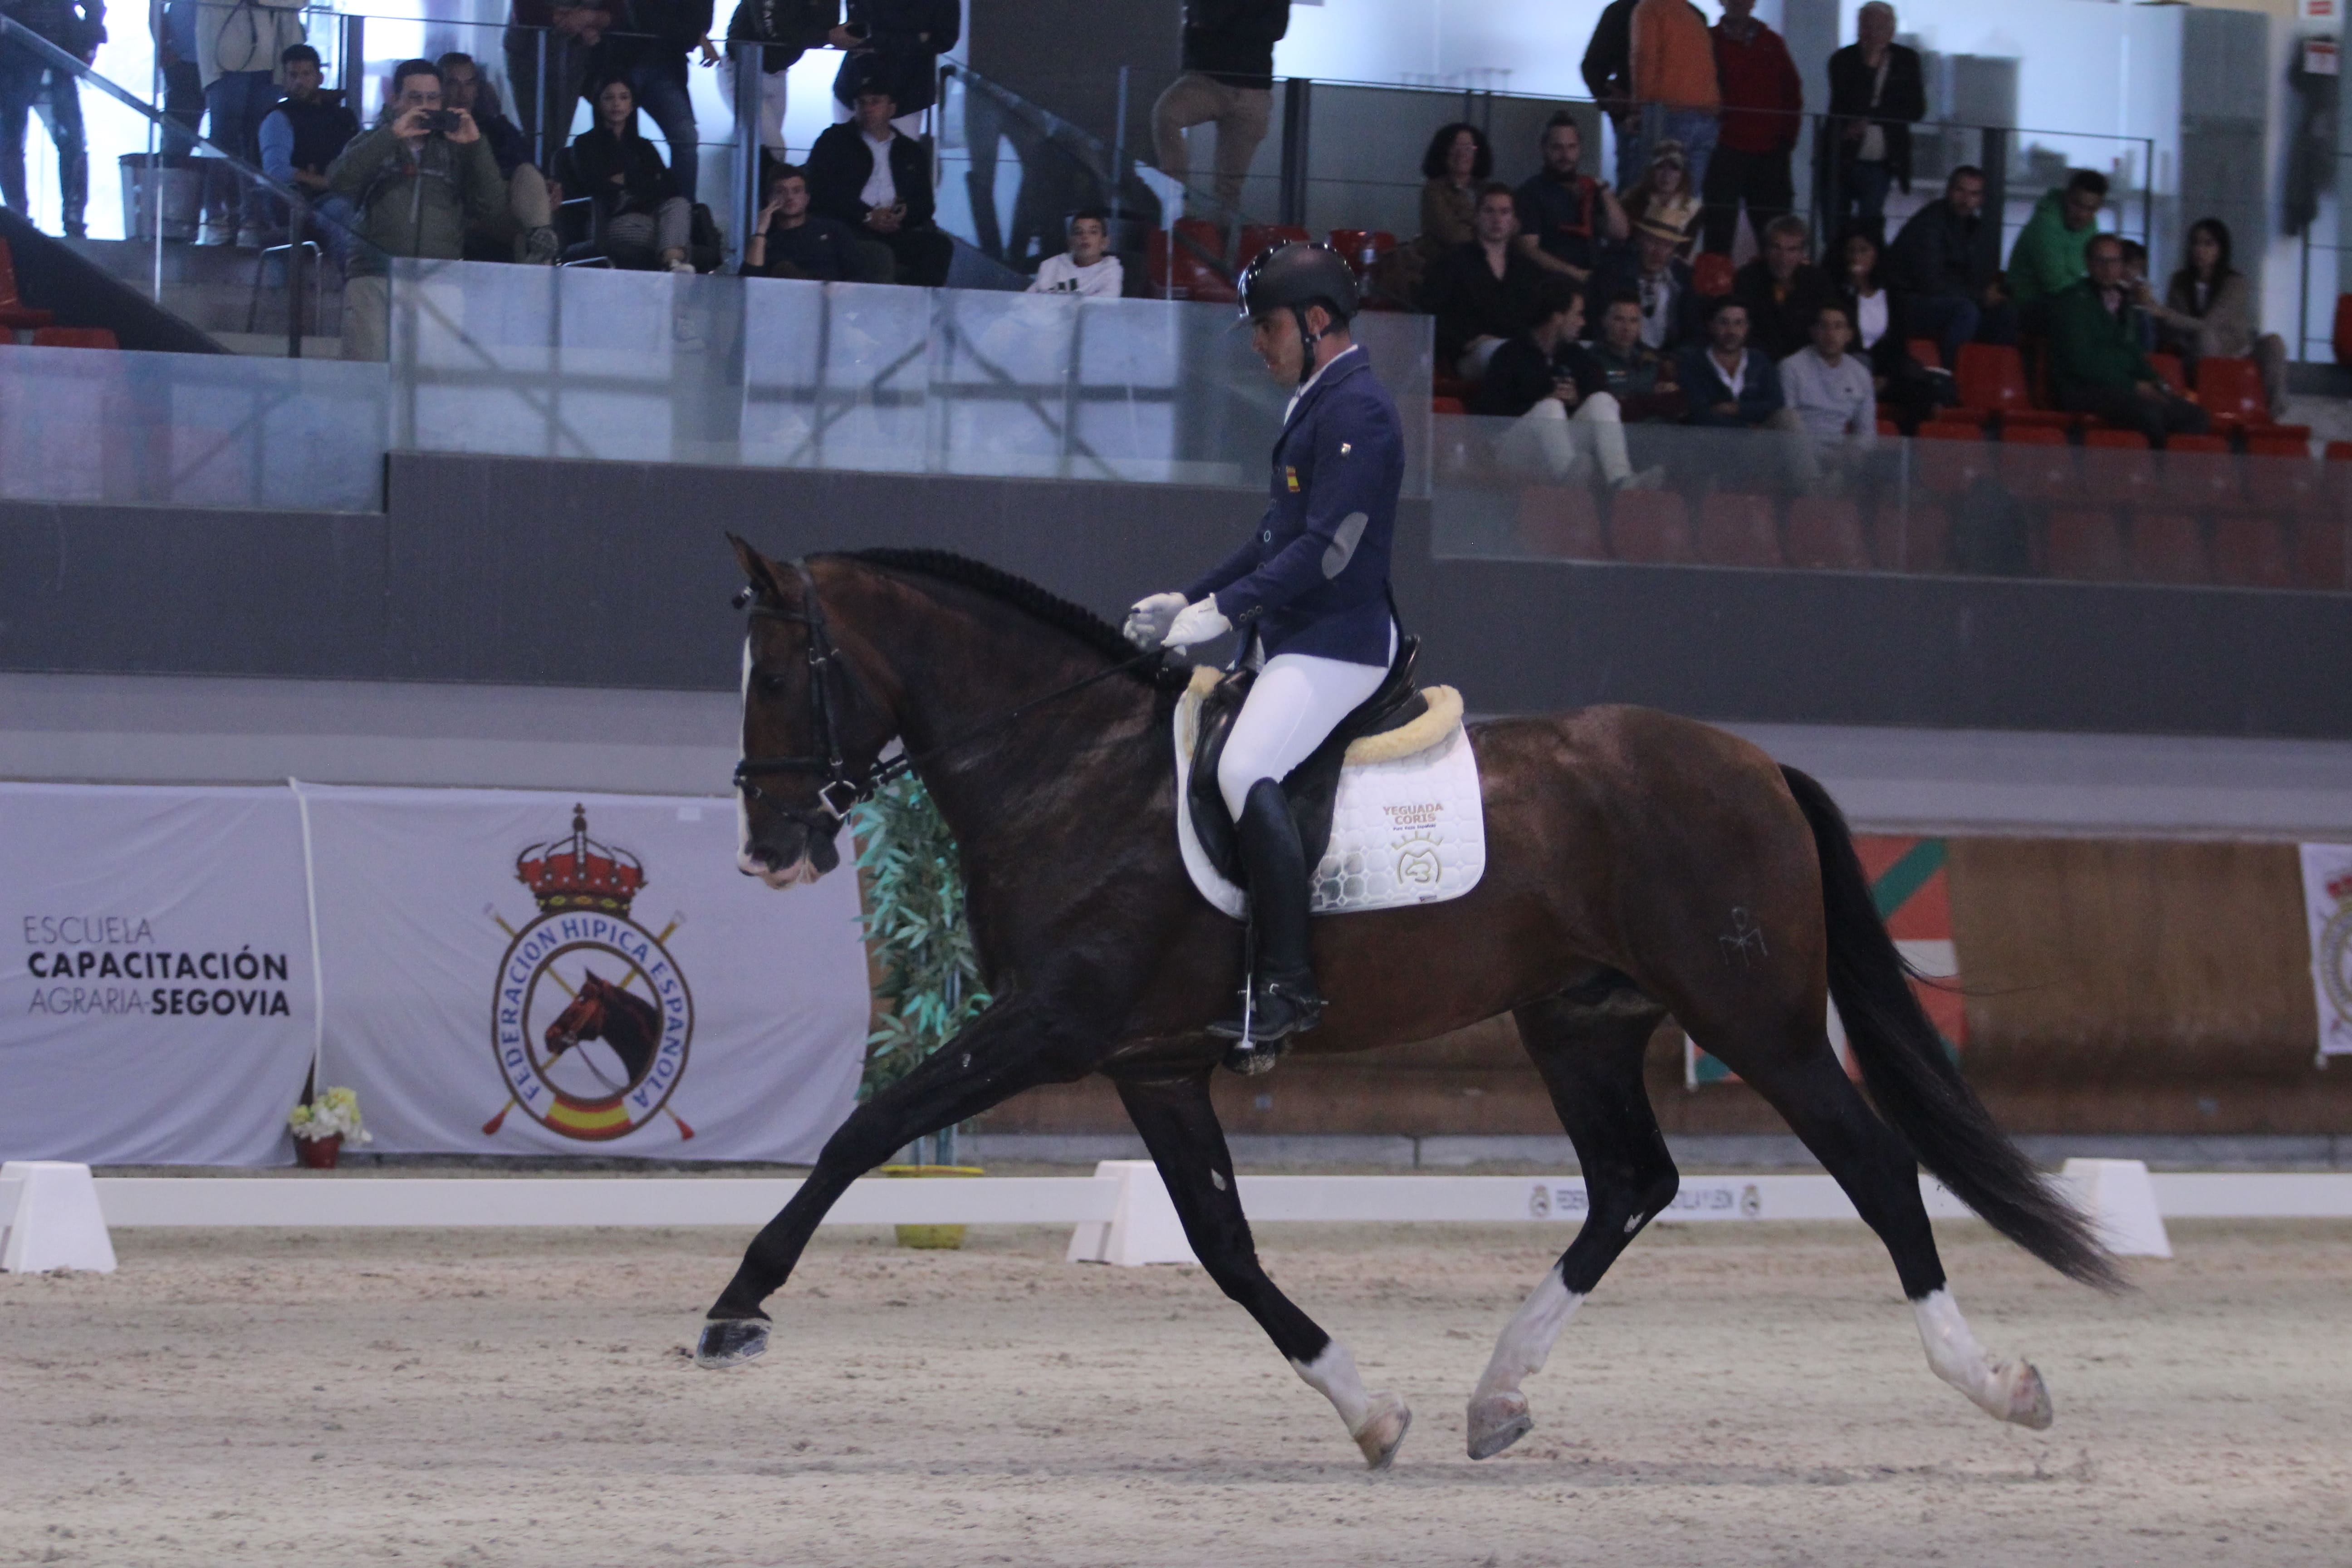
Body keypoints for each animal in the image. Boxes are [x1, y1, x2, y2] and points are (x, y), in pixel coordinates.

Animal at [696, 540, 2117, 1476]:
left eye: (774, 678)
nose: (764, 849)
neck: (1072, 767)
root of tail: (1756, 762)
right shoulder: (1153, 1064)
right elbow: (1224, 1247)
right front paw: (1369, 1410)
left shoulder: (1054, 1025)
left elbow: (863, 1130)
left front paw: (737, 1307)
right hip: (1579, 1020)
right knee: (1631, 1183)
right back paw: (1496, 1395)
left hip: (1748, 1013)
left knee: (1872, 1164)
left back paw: (1996, 1384)